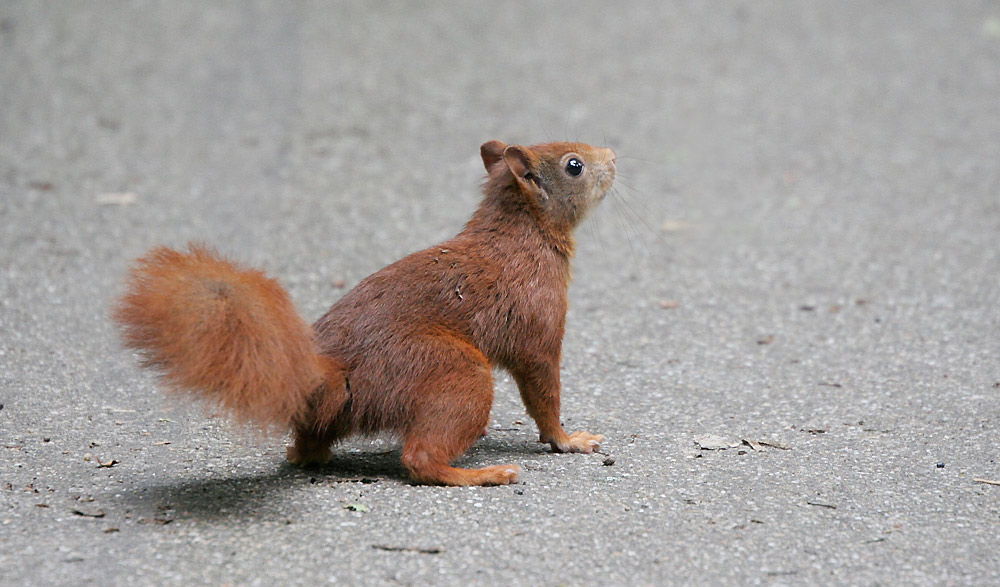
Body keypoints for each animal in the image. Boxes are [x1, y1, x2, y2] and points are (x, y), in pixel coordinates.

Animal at [115, 141, 616, 486]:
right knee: (419, 460)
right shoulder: (537, 322)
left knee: (308, 446)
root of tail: (331, 379)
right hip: (454, 372)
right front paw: (568, 440)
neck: (522, 234)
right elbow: (542, 389)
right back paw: (481, 474)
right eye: (574, 165)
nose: (612, 157)